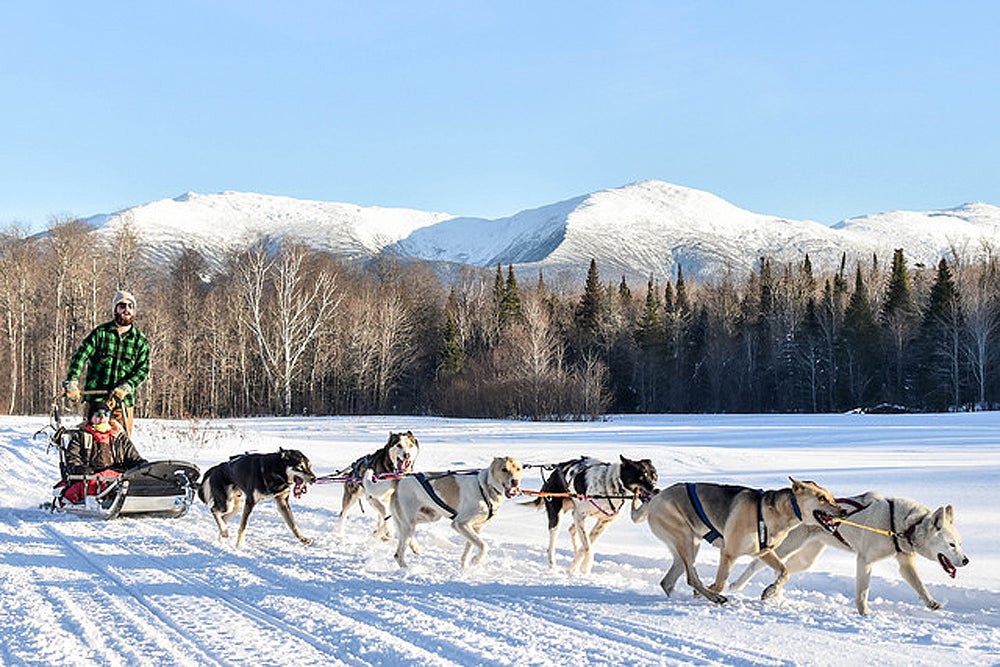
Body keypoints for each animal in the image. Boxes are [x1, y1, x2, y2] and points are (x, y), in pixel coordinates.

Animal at [632, 474, 844, 604]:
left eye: (832, 498)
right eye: (821, 498)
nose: (844, 511)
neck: (777, 513)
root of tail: (656, 497)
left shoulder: (764, 551)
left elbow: (785, 572)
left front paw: (770, 590)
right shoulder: (728, 553)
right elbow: (720, 584)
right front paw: (713, 591)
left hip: (687, 546)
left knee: (668, 582)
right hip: (686, 540)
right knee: (691, 578)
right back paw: (712, 597)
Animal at [728, 490, 968, 616]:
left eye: (960, 543)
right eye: (951, 545)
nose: (966, 560)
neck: (904, 525)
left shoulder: (905, 563)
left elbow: (920, 586)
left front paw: (931, 602)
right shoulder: (865, 560)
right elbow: (862, 593)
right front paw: (864, 614)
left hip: (806, 559)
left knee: (783, 570)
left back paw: (773, 592)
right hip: (787, 546)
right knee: (756, 563)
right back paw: (737, 585)